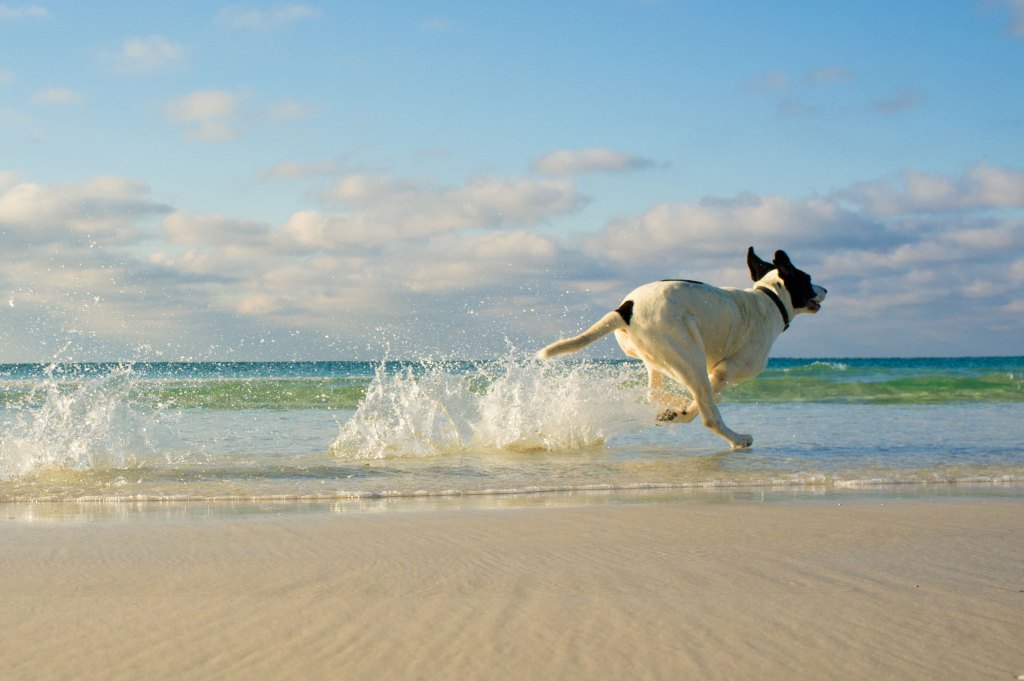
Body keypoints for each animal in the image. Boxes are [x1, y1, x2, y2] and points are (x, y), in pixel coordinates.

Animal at [540, 246, 827, 448]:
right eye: (807, 278)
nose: (824, 289)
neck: (770, 298)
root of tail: (625, 309)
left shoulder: (713, 372)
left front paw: (677, 410)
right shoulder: (724, 370)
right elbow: (705, 402)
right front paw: (682, 412)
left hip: (659, 357)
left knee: (656, 392)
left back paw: (674, 406)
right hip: (688, 357)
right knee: (709, 414)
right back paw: (736, 438)